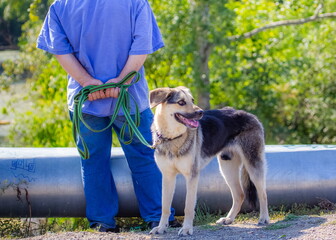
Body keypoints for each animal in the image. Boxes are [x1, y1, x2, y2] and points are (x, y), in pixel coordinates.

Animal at [148, 86, 270, 236]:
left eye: (192, 100)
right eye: (181, 102)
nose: (200, 112)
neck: (172, 138)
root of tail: (250, 115)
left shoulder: (192, 177)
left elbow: (188, 206)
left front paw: (187, 228)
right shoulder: (167, 177)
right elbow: (165, 206)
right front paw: (161, 228)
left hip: (253, 166)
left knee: (262, 193)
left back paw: (264, 218)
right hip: (227, 169)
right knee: (239, 194)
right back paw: (229, 219)